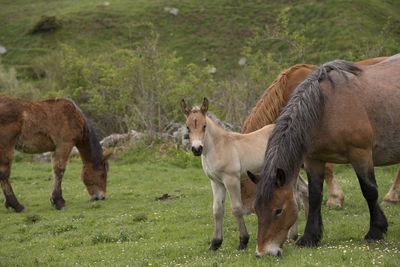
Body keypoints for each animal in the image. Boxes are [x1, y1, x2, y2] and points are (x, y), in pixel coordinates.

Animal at [253, 54, 400, 258]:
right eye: (256, 210)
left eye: (278, 210)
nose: (263, 252)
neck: (325, 108)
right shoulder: (313, 160)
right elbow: (314, 196)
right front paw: (309, 237)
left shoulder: (361, 154)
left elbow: (369, 191)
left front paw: (375, 231)